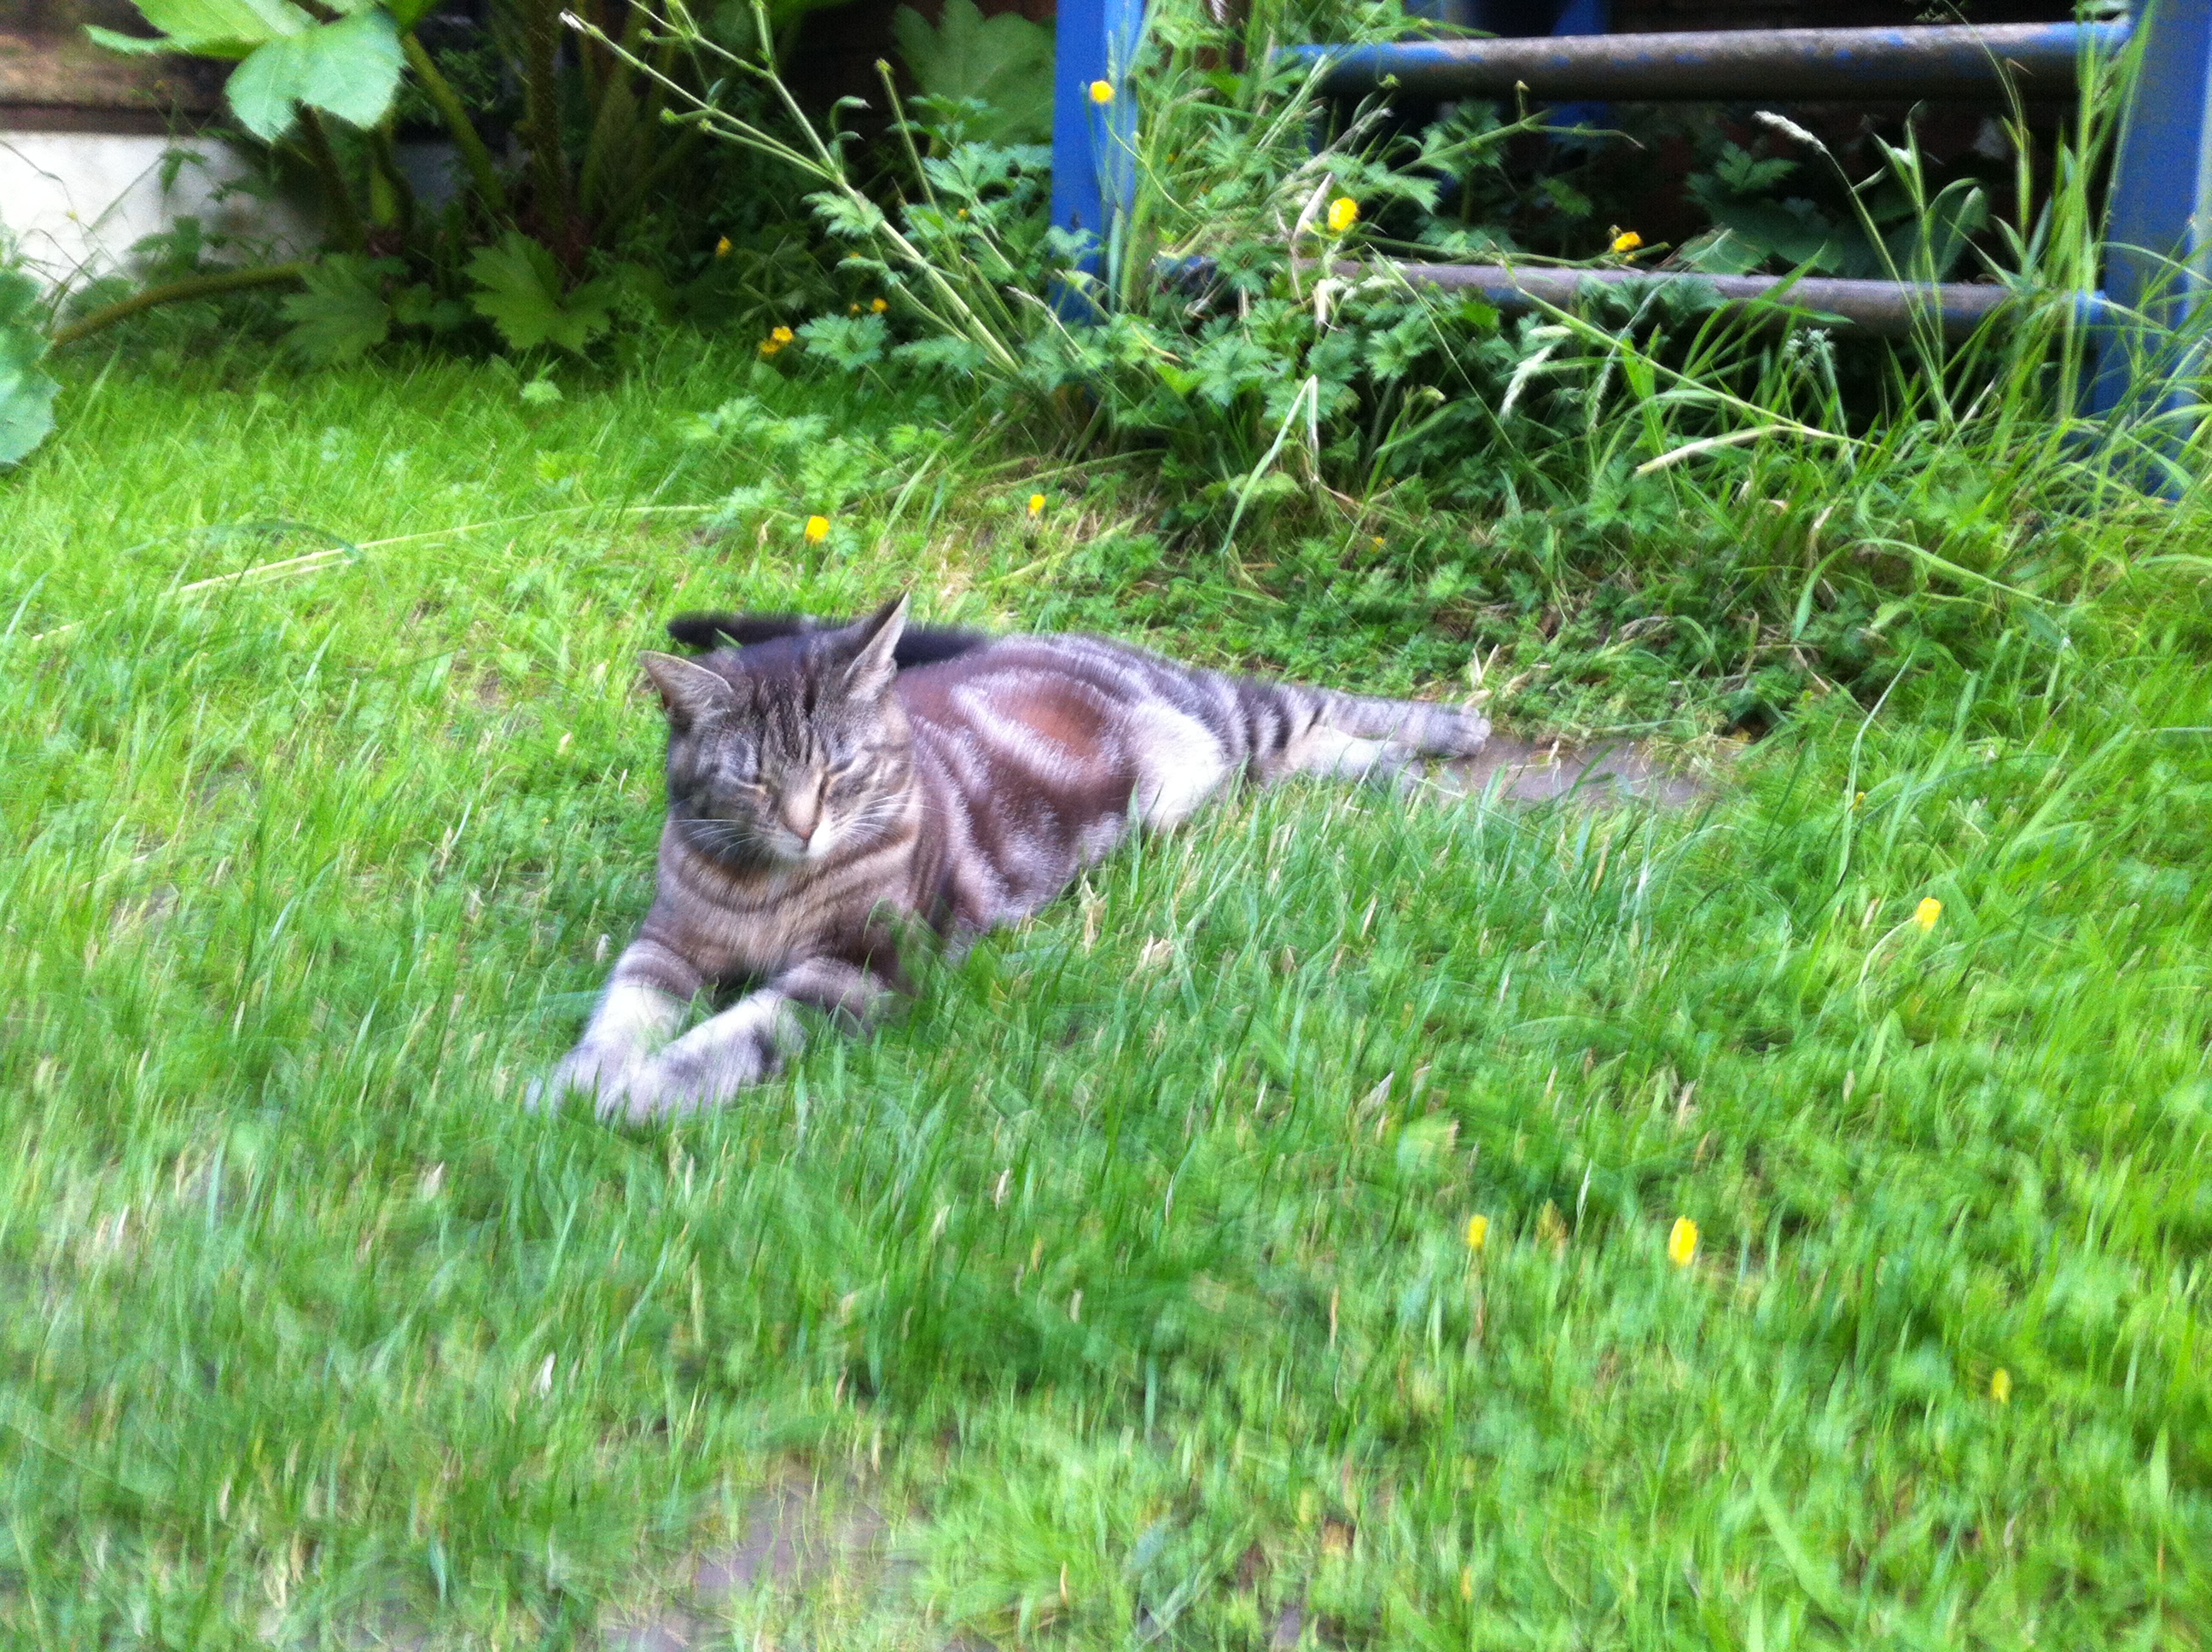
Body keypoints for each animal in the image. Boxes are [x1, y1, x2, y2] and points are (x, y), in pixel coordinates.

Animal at [535, 596, 1490, 1120]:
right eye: (755, 780)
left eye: (840, 770)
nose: (806, 827)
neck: (768, 888)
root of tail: (1027, 636)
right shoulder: (665, 944)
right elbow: (619, 1011)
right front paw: (581, 1079)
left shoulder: (858, 970)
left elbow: (733, 1036)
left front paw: (643, 1090)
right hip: (1236, 762)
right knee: (1308, 749)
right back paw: (1396, 770)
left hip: (1229, 712)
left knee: (1315, 700)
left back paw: (1446, 734)